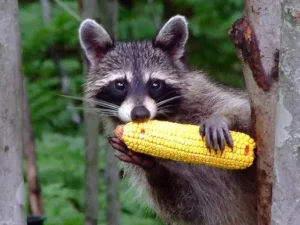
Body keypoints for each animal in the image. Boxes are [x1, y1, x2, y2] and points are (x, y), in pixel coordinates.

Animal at [78, 14, 256, 224]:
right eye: (120, 84)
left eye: (155, 84)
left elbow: (244, 112)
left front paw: (221, 119)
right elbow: (184, 205)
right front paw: (151, 166)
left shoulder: (203, 95)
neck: (164, 118)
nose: (140, 114)